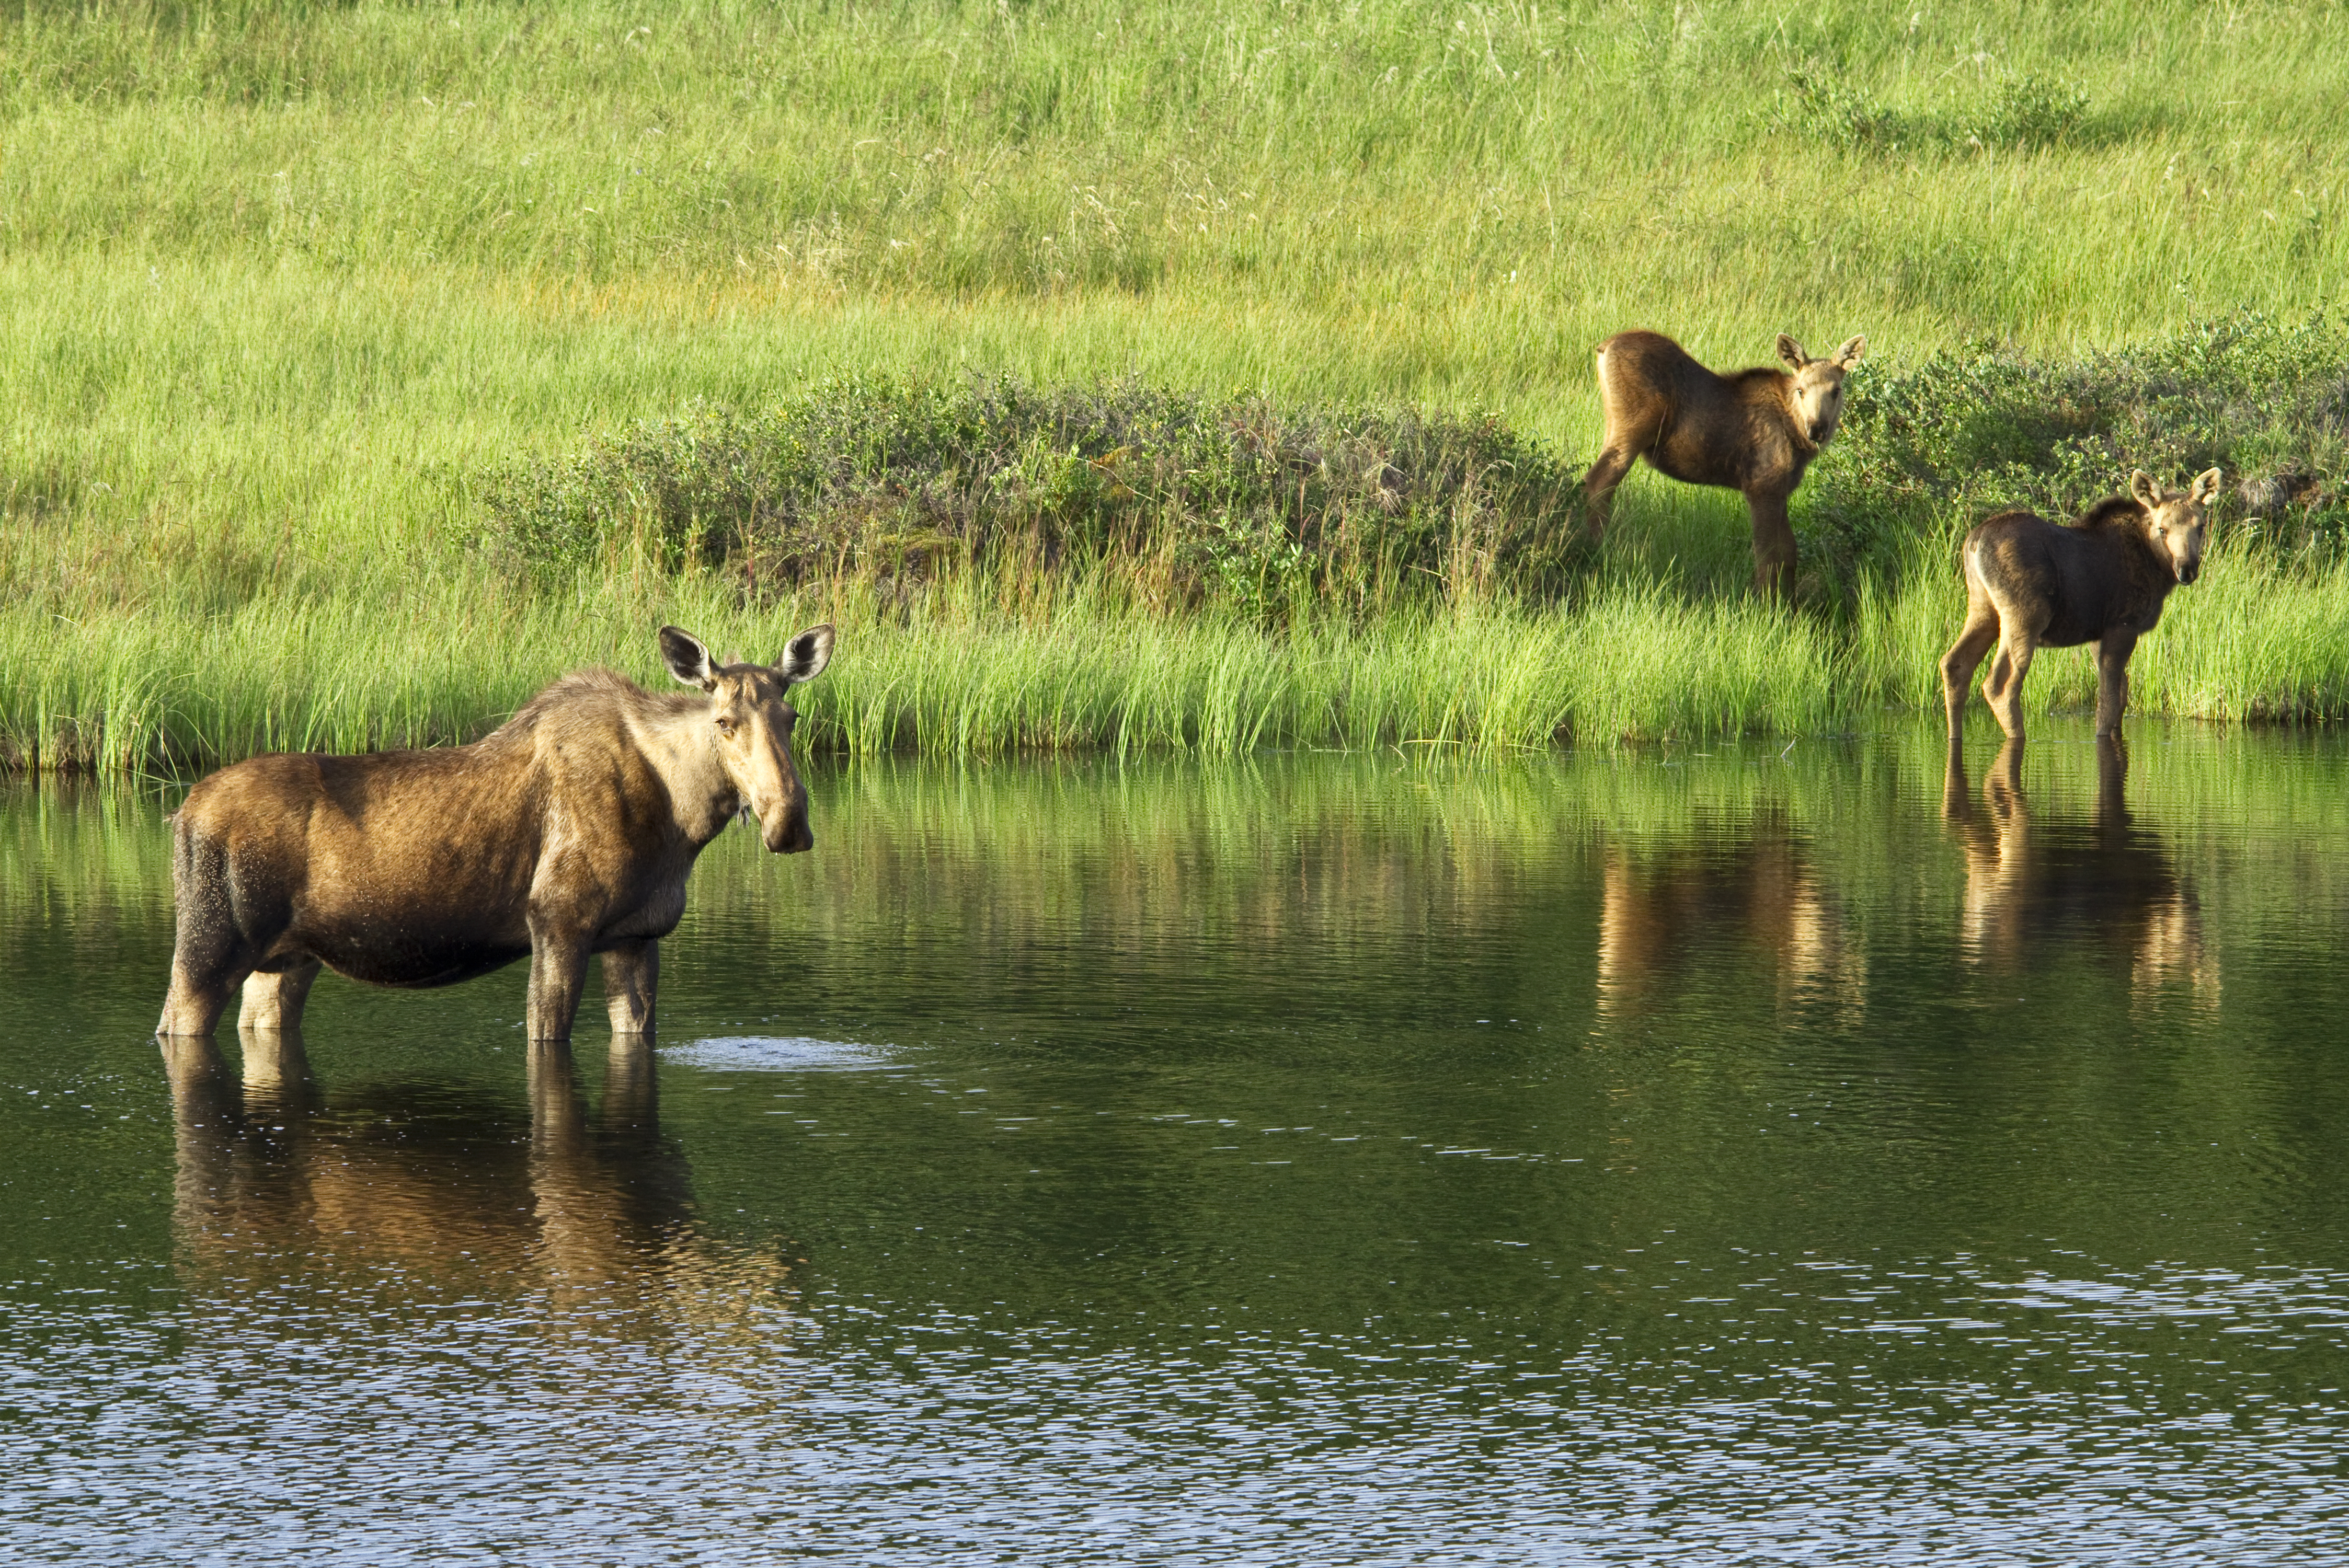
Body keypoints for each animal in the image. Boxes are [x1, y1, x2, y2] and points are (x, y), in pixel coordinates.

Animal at [158, 619, 836, 1042]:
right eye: (724, 722)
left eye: (791, 715)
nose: (789, 822)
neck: (681, 819)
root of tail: (184, 811)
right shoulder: (558, 919)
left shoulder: (637, 936)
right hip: (211, 945)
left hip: (286, 961)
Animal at [1578, 331, 1870, 601]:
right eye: (1801, 390)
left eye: (1836, 391)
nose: (1817, 429)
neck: (1796, 437)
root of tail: (1603, 348)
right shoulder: (1761, 485)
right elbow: (1767, 554)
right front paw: (1767, 607)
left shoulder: (1780, 490)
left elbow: (1789, 552)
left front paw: (1791, 605)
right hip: (1633, 429)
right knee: (1598, 483)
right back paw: (1597, 551)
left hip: (1614, 426)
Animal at [1945, 469, 2217, 746]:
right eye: (2162, 529)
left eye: (2200, 527)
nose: (2187, 570)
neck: (2156, 567)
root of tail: (1975, 541)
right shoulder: (2123, 625)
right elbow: (2109, 701)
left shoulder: (2098, 633)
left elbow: (2121, 696)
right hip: (2025, 616)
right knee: (2000, 684)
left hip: (1983, 609)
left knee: (1954, 664)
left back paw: (1955, 736)